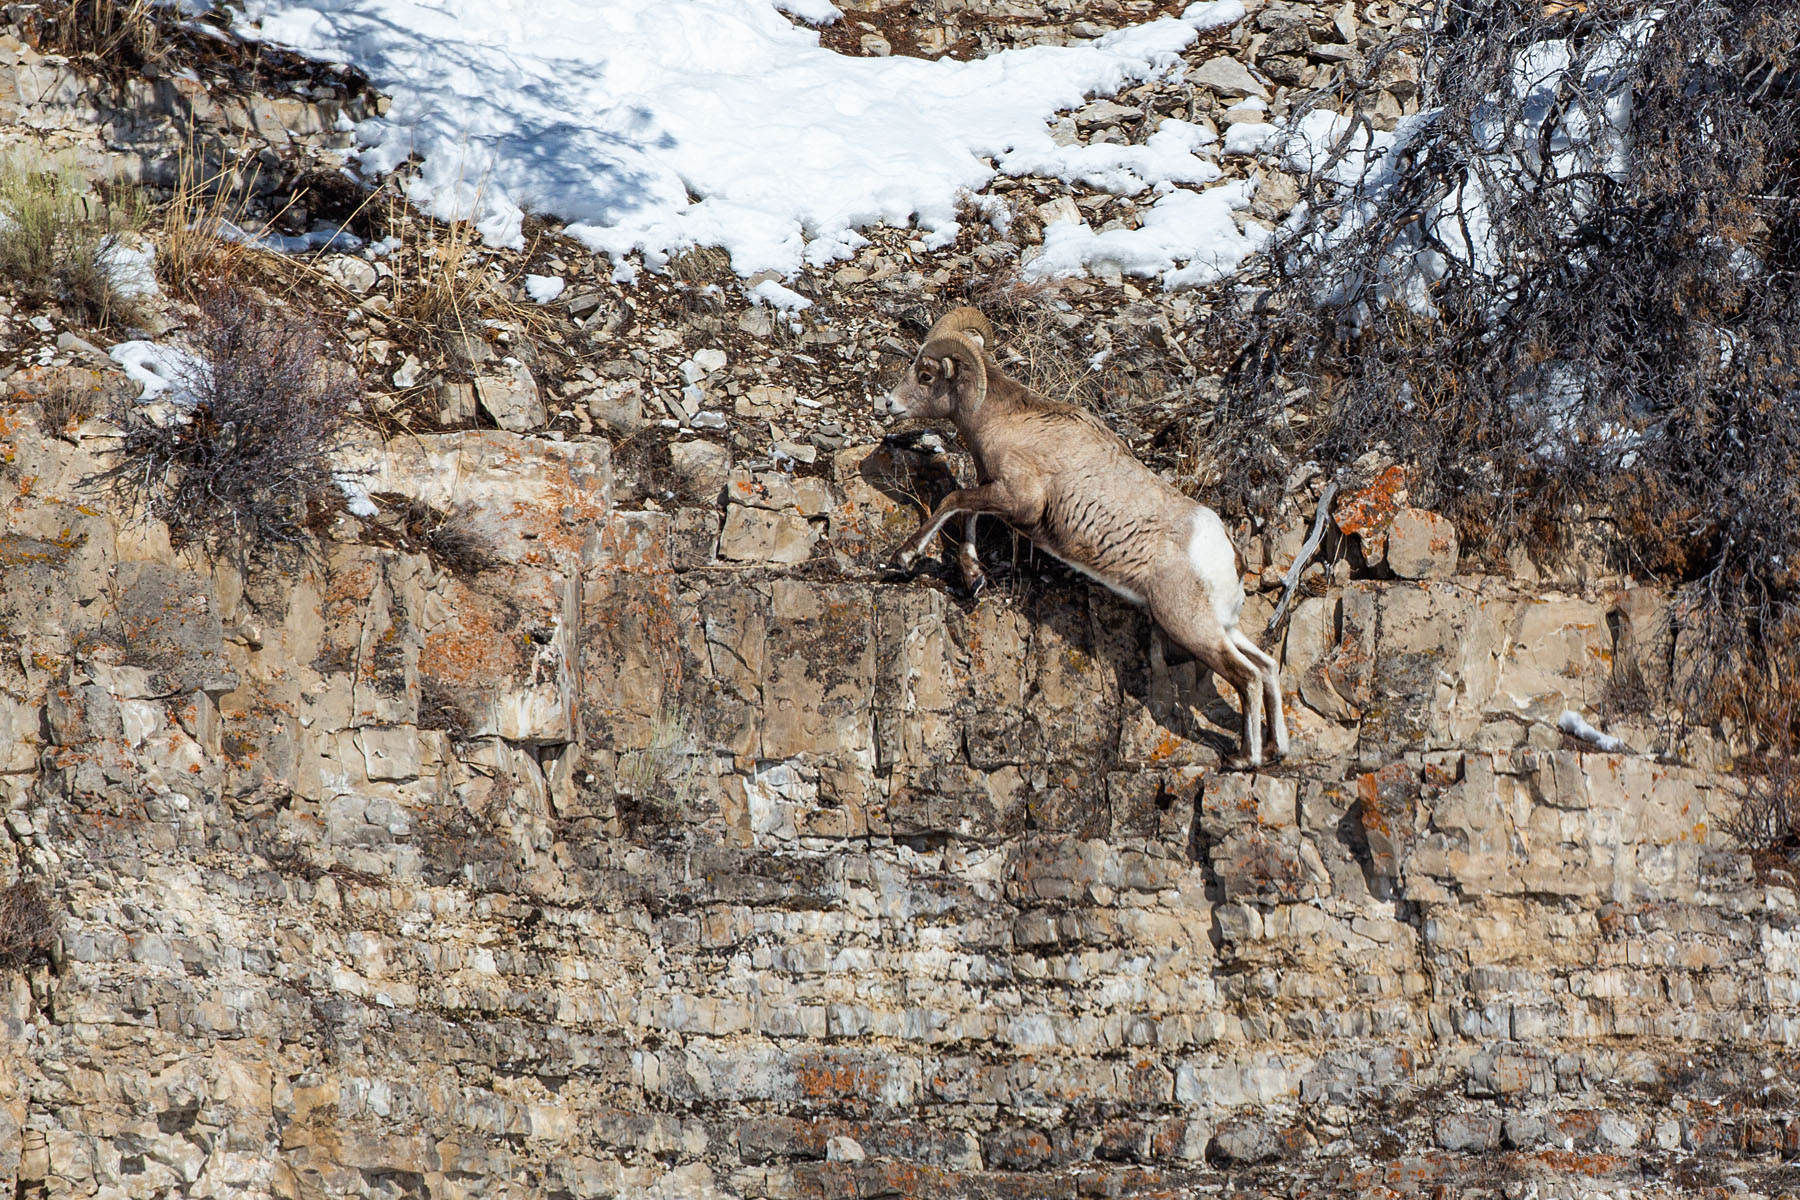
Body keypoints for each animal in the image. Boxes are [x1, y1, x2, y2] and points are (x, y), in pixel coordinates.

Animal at [880, 306, 1288, 767]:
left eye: (926, 375)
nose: (889, 403)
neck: (1004, 419)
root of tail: (1226, 555)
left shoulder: (1019, 501)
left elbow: (954, 500)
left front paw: (903, 559)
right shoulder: (996, 492)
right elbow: (967, 510)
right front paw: (973, 577)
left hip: (1191, 628)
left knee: (1247, 677)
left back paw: (1245, 759)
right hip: (1225, 627)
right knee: (1267, 668)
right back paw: (1276, 749)